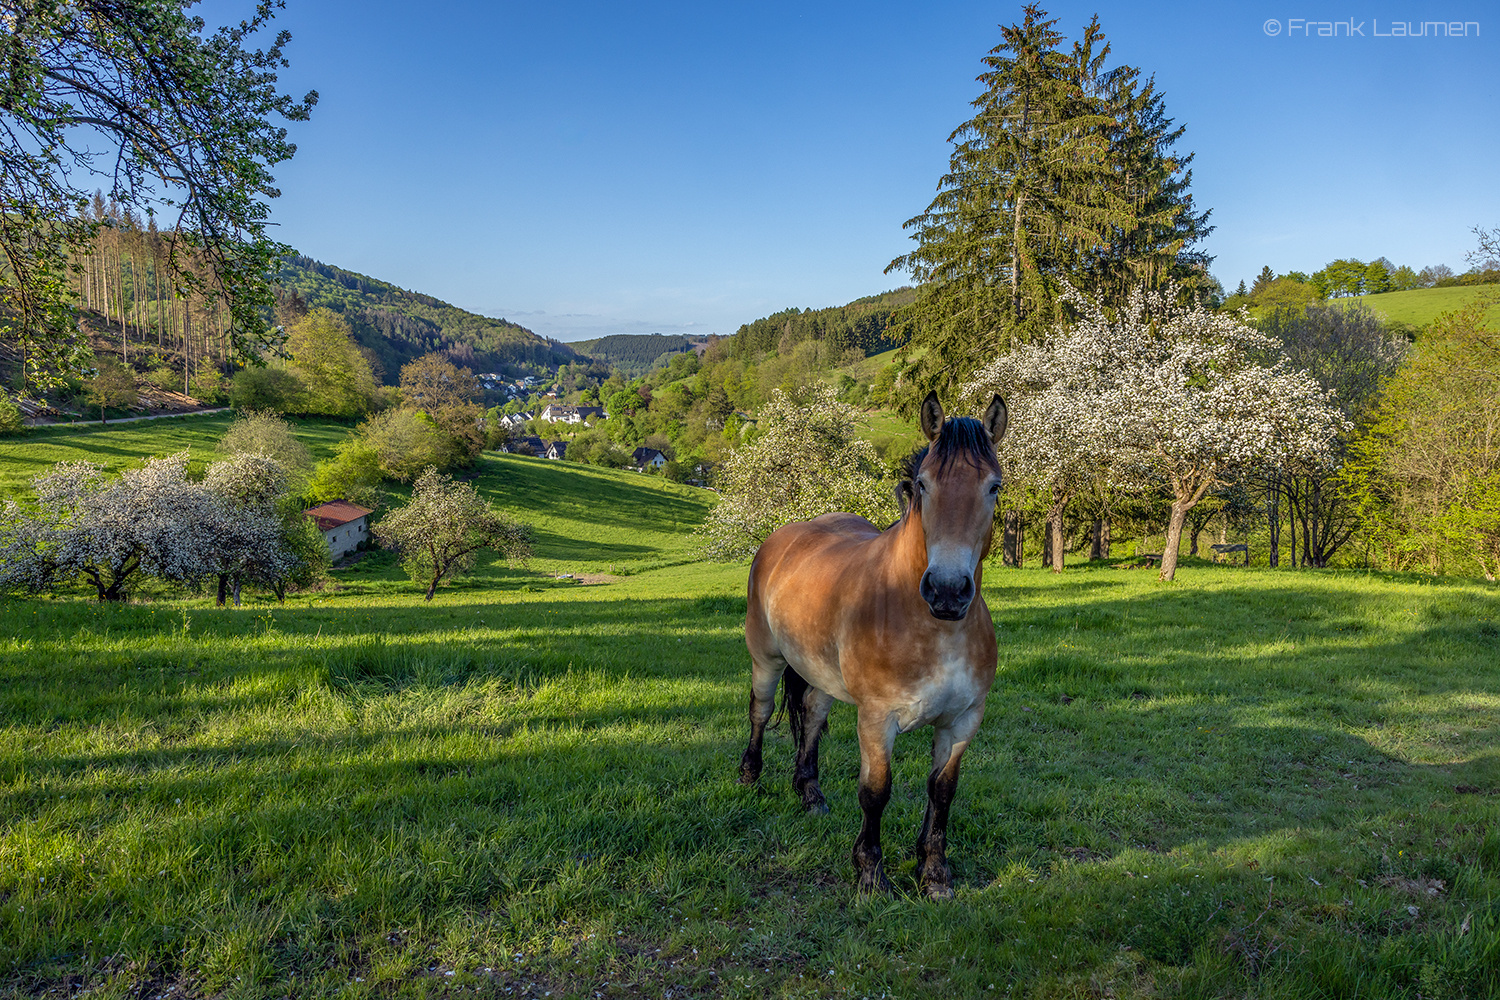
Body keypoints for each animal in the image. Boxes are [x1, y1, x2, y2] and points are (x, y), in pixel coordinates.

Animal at [738, 392, 1008, 899]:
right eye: (922, 484)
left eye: (994, 487)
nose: (947, 591)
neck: (933, 629)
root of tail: (784, 537)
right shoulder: (877, 719)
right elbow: (876, 791)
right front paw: (870, 874)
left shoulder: (963, 721)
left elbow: (942, 791)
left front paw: (934, 873)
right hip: (766, 658)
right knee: (760, 712)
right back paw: (749, 775)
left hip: (821, 676)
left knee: (812, 717)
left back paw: (811, 795)